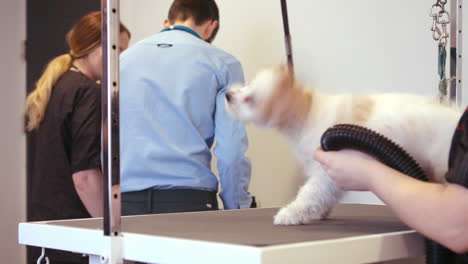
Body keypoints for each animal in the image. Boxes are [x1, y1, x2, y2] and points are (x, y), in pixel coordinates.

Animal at [225, 65, 462, 224]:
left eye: (250, 99)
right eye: (246, 85)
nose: (227, 95)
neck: (306, 112)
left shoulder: (326, 172)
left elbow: (310, 194)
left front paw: (291, 214)